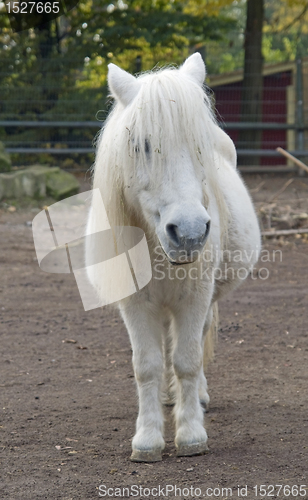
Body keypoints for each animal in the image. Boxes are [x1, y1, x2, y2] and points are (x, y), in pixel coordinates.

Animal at [86, 53, 260, 460]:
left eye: (201, 146)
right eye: (142, 145)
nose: (190, 232)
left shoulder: (194, 298)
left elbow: (188, 360)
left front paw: (192, 433)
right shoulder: (136, 303)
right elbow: (147, 365)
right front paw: (148, 439)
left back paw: (197, 397)